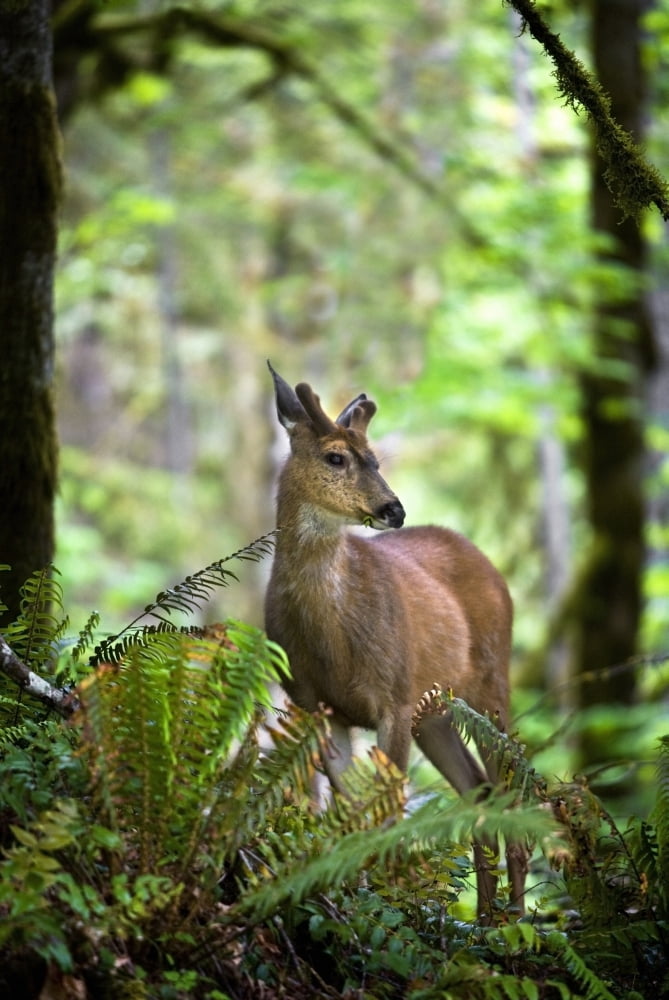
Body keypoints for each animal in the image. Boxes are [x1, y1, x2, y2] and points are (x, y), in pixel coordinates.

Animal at [264, 362, 527, 920]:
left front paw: (386, 902)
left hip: (489, 683)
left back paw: (517, 919)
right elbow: (352, 813)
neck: (331, 641)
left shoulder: (394, 697)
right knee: (480, 788)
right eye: (335, 456)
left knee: (511, 788)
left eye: (376, 459)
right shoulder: (317, 705)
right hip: (436, 712)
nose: (394, 509)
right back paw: (487, 918)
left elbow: (388, 813)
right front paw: (357, 898)